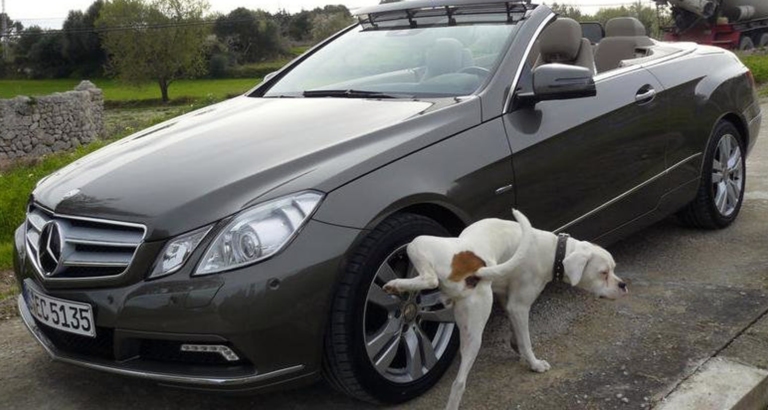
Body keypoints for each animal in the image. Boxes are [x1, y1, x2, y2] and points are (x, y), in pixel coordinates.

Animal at [384, 209, 628, 410]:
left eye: (612, 270)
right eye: (604, 273)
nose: (623, 285)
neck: (553, 252)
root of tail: (475, 269)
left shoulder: (513, 303)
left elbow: (522, 338)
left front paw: (528, 358)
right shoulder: (518, 306)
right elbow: (525, 338)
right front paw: (531, 360)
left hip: (424, 251)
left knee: (459, 381)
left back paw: (397, 285)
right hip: (420, 247)